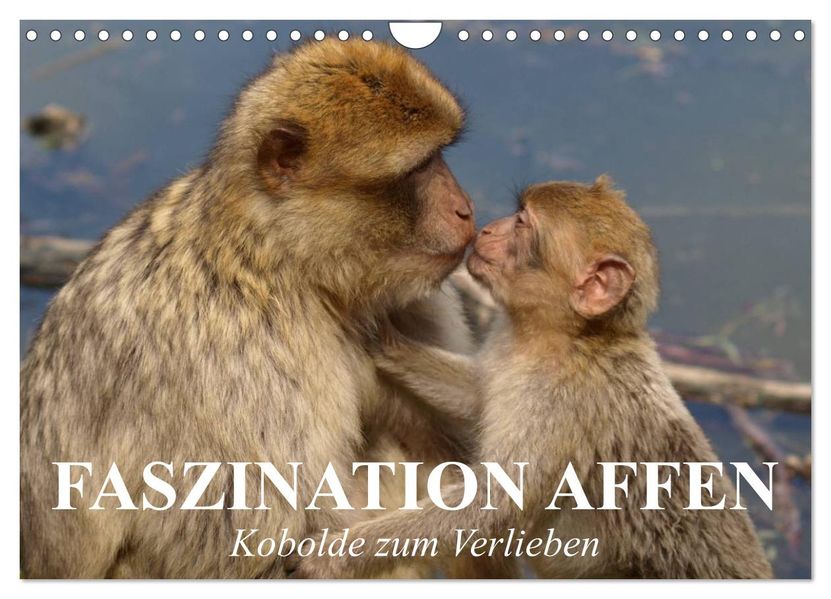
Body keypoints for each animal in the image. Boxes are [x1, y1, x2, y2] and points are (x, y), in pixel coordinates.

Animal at [20, 39, 495, 578]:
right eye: (419, 168)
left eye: (441, 156)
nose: (465, 209)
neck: (279, 262)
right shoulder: (243, 363)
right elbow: (247, 545)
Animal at [287, 176, 774, 579]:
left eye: (521, 223)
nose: (485, 228)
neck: (564, 338)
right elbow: (476, 394)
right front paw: (381, 338)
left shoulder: (558, 402)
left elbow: (492, 505)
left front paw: (337, 554)